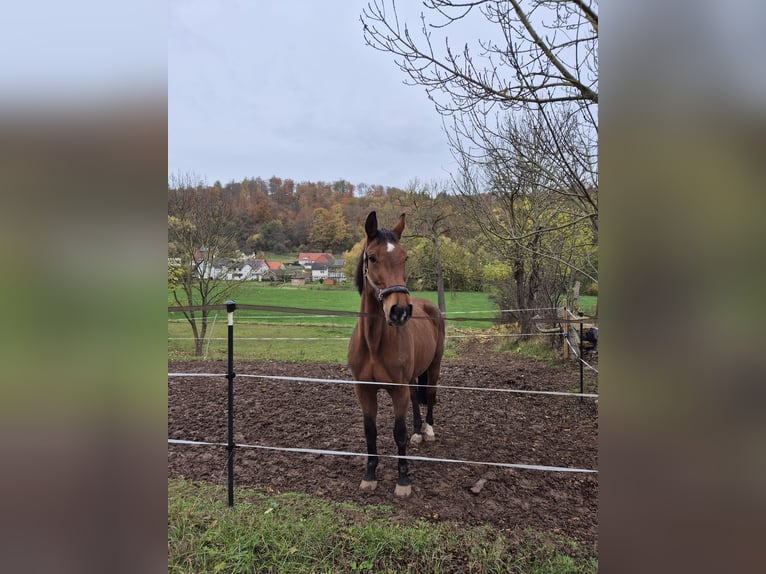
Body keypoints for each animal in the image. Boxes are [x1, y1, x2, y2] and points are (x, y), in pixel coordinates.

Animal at [347, 211, 445, 497]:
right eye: (372, 257)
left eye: (405, 258)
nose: (400, 311)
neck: (373, 343)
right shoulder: (364, 390)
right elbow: (370, 432)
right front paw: (369, 475)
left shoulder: (397, 389)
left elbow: (398, 432)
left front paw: (403, 481)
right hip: (412, 378)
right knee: (415, 399)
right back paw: (418, 433)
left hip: (434, 366)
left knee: (430, 396)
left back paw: (428, 431)